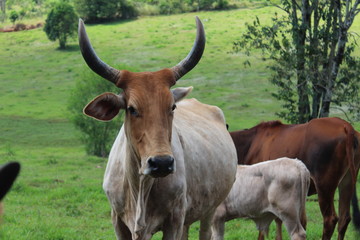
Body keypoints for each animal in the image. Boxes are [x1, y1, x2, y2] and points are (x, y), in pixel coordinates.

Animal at [77, 16, 238, 240]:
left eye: (172, 106)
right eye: (131, 109)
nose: (161, 163)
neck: (139, 188)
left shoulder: (174, 219)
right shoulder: (118, 221)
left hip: (209, 210)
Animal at [229, 118, 360, 240]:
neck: (250, 144)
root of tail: (346, 126)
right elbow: (296, 221)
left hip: (324, 184)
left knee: (330, 219)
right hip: (347, 182)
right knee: (344, 218)